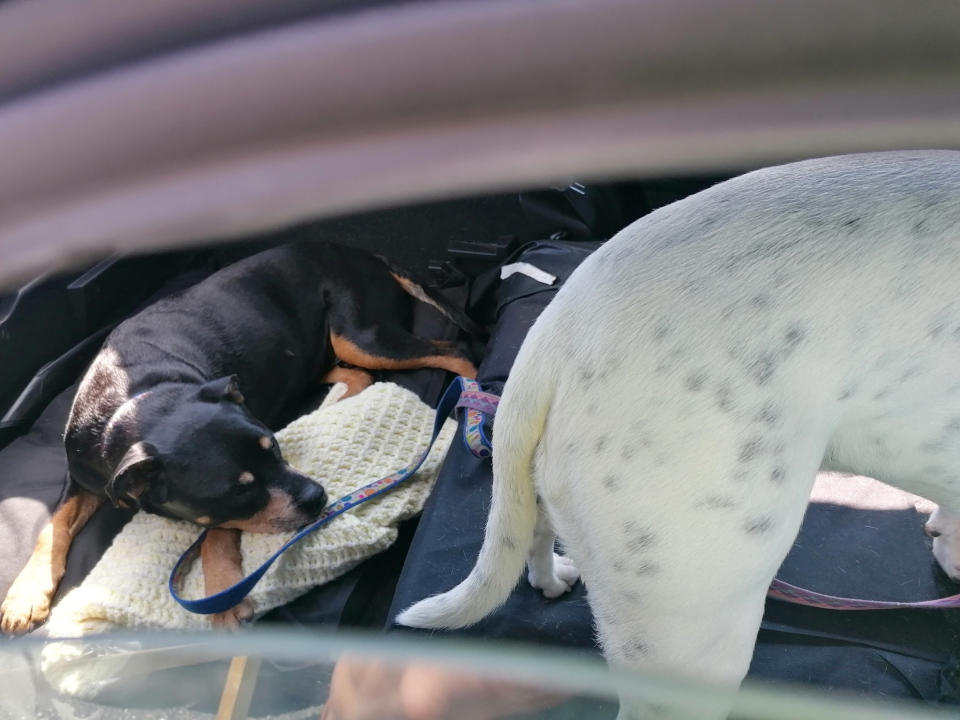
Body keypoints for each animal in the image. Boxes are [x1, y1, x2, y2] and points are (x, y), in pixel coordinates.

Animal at [0, 240, 480, 632]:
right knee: (355, 374)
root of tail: (362, 253)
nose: (319, 497)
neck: (139, 401)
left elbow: (217, 532)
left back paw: (479, 395)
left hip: (360, 334)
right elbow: (52, 527)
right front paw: (25, 594)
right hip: (317, 351)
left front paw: (224, 598)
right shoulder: (82, 476)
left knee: (452, 350)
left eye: (276, 448)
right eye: (238, 489)